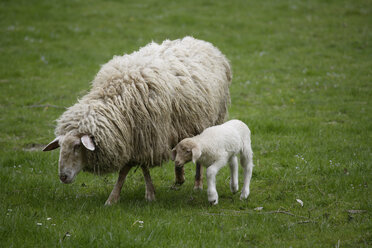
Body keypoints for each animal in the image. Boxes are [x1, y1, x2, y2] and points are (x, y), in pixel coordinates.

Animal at [42, 35, 231, 204]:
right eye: (61, 146)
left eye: (76, 146)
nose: (63, 177)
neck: (115, 98)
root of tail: (201, 42)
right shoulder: (138, 138)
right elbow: (143, 167)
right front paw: (148, 192)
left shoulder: (145, 137)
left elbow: (125, 170)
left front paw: (115, 198)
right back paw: (179, 177)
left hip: (212, 119)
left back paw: (197, 183)